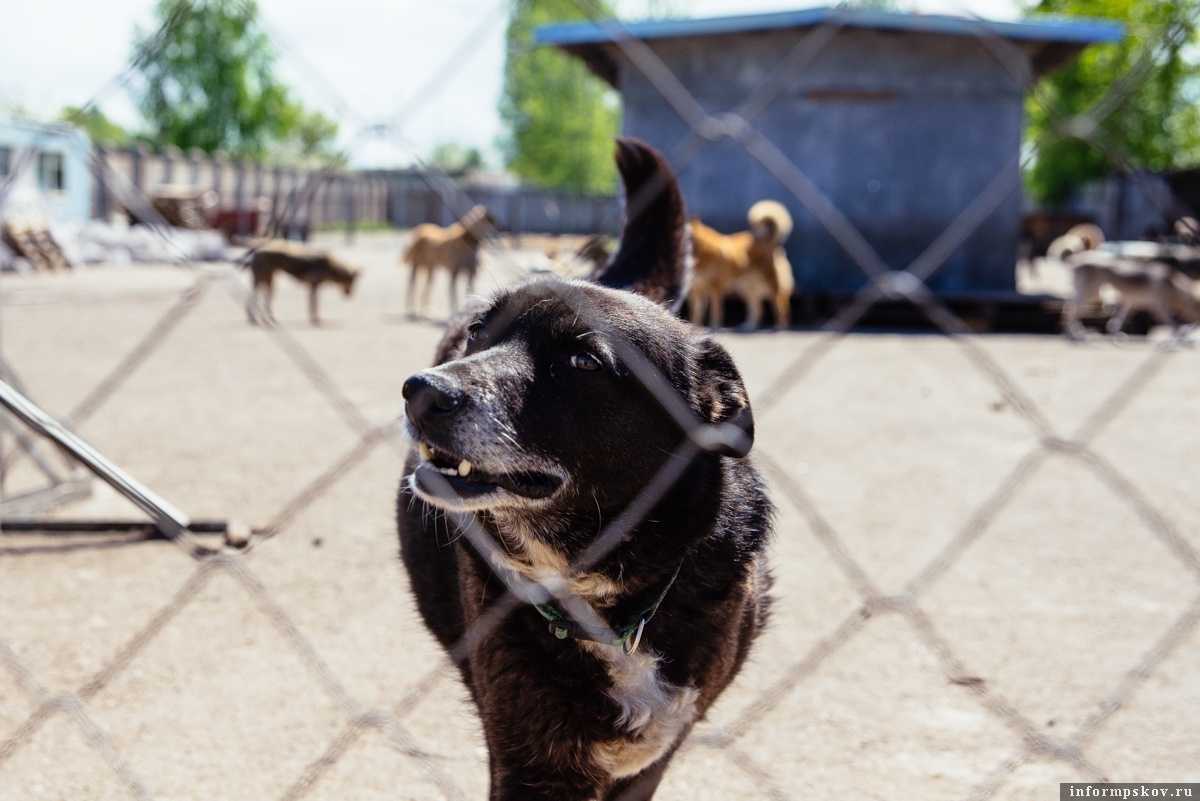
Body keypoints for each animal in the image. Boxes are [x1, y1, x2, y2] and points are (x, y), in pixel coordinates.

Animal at [691, 199, 792, 328]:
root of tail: (767, 240)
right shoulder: (696, 290)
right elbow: (696, 314)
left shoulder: (716, 289)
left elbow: (715, 312)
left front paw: (714, 326)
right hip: (745, 288)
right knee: (758, 309)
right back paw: (749, 325)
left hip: (772, 285)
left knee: (781, 307)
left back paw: (780, 327)